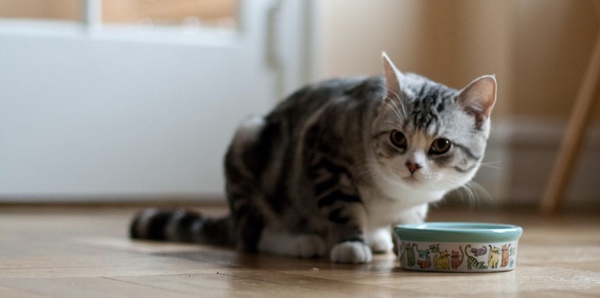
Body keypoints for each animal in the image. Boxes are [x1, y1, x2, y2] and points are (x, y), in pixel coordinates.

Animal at [130, 52, 496, 264]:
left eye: (441, 145)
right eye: (397, 138)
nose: (411, 165)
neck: (395, 195)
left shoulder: (416, 203)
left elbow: (411, 219)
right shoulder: (325, 149)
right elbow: (341, 204)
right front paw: (349, 243)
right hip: (248, 142)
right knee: (251, 237)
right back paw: (301, 241)